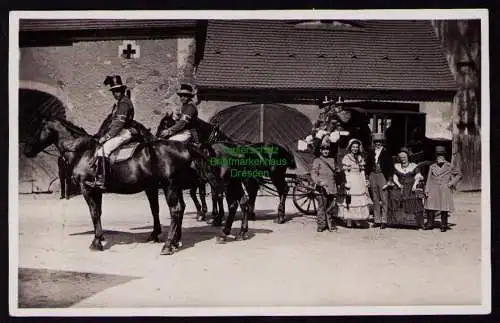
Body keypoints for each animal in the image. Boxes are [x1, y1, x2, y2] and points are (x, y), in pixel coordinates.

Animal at [23, 116, 223, 256]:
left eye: (38, 128)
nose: (26, 150)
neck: (83, 152)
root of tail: (186, 147)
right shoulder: (97, 190)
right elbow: (99, 213)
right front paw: (100, 237)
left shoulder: (87, 189)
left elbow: (93, 213)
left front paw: (96, 242)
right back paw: (173, 241)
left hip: (171, 187)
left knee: (176, 210)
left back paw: (168, 246)